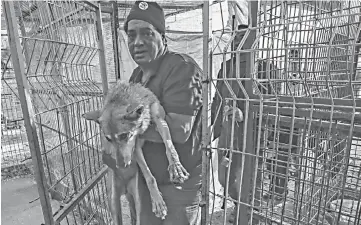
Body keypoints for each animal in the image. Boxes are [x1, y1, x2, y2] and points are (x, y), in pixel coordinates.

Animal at [81, 81, 188, 225]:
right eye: (108, 139)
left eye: (124, 135)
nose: (120, 166)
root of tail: (125, 188)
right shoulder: (135, 147)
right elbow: (149, 176)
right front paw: (158, 201)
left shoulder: (160, 120)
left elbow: (169, 147)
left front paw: (176, 167)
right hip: (114, 204)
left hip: (138, 206)